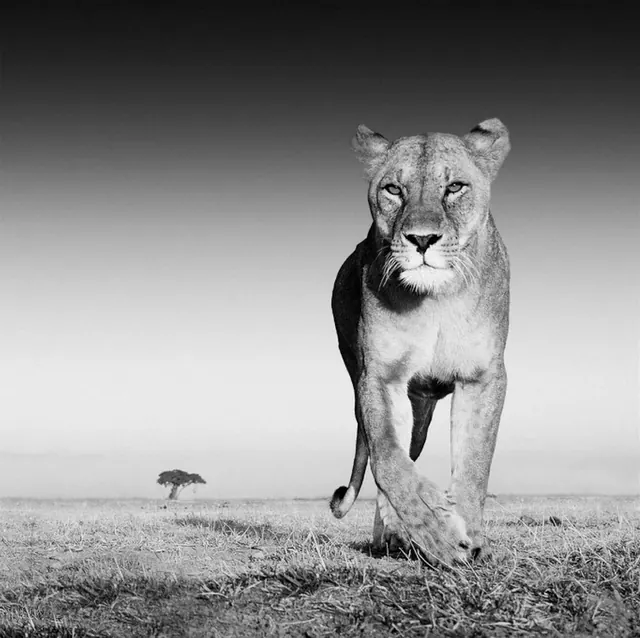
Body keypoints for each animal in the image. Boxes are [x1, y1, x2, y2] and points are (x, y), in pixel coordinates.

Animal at [329, 118, 511, 565]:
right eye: (394, 190)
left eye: (455, 187)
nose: (422, 239)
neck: (436, 301)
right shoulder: (380, 377)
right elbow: (388, 461)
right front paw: (438, 532)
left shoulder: (482, 378)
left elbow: (474, 462)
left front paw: (467, 535)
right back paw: (393, 537)